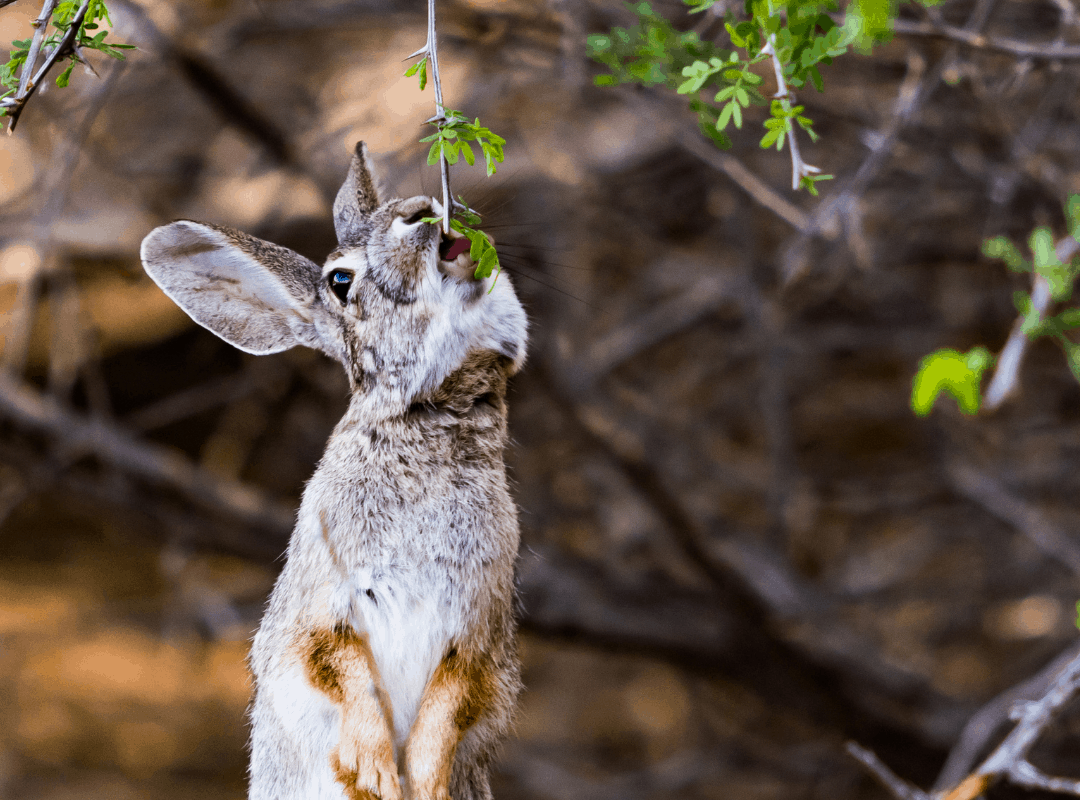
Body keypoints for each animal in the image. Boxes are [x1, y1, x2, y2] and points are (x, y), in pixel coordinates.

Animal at [140, 141, 528, 800]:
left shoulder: (478, 626)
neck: (430, 416)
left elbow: (450, 703)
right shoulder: (324, 605)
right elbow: (338, 669)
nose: (423, 210)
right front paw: (375, 773)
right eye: (340, 281)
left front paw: (424, 784)